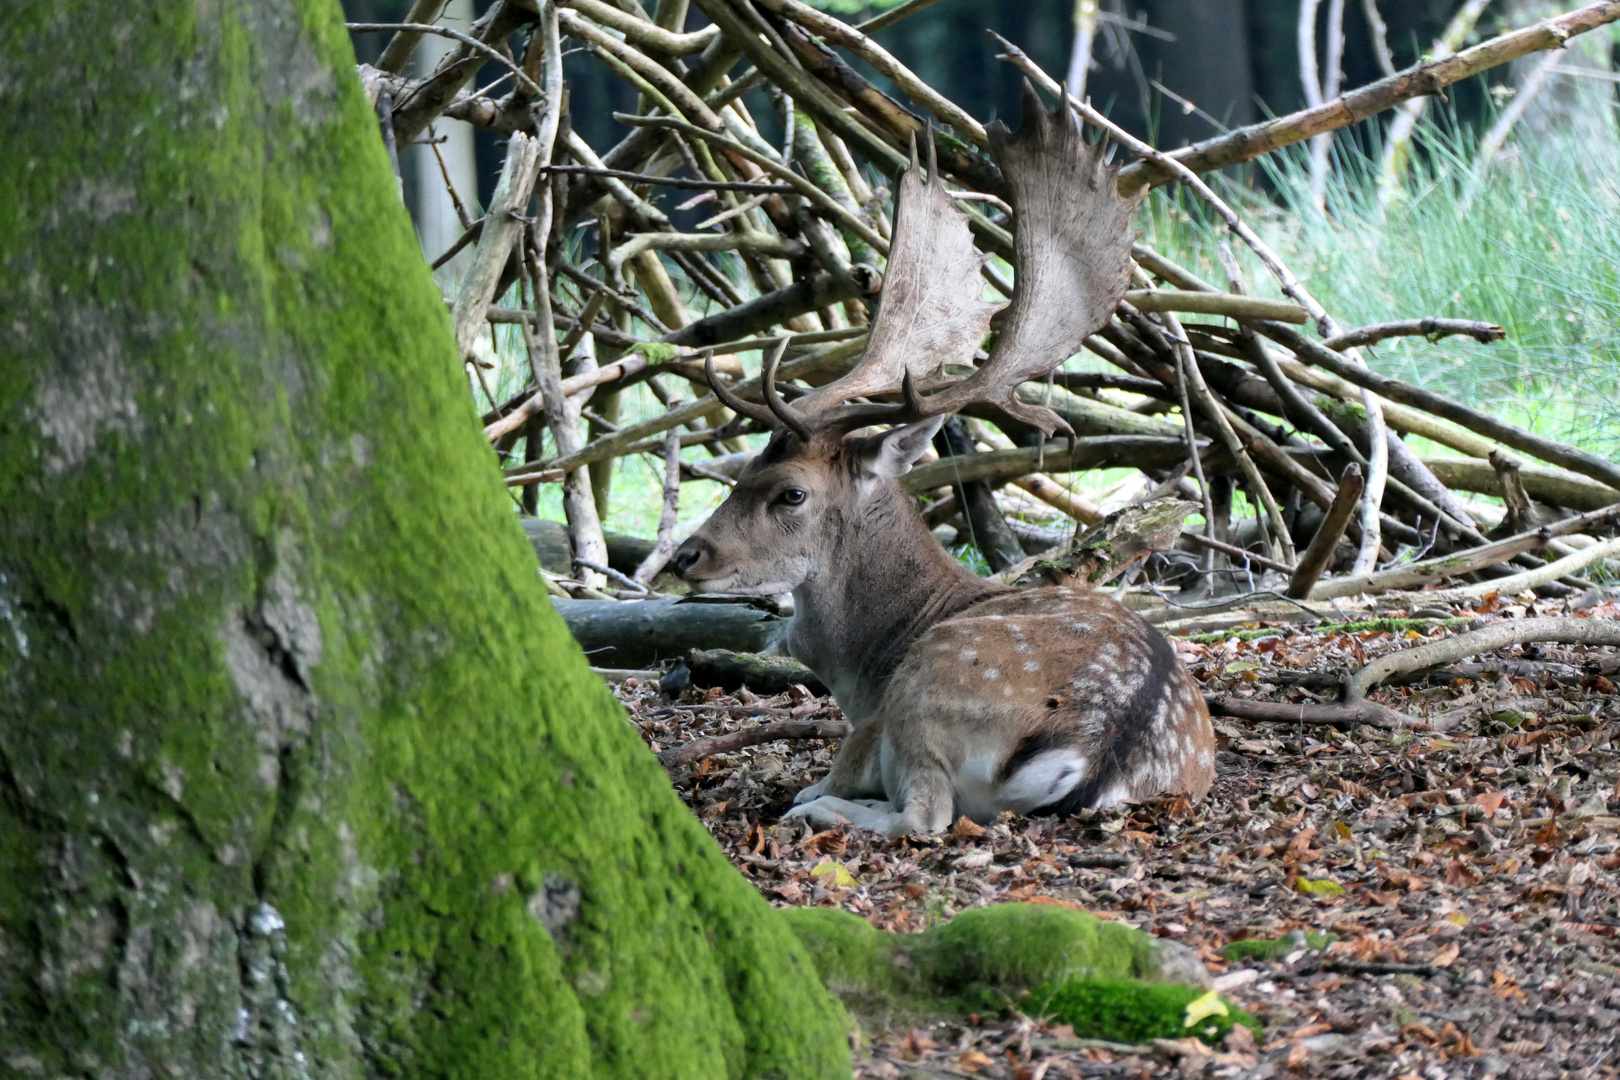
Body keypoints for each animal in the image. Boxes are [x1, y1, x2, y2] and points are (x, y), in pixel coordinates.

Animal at [670, 88, 1218, 841]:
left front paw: (810, 793)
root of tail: (1102, 748)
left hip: (931, 686)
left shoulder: (866, 728)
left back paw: (820, 808)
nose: (685, 556)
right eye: (745, 471)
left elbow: (839, 778)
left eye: (792, 494)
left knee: (923, 816)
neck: (865, 664)